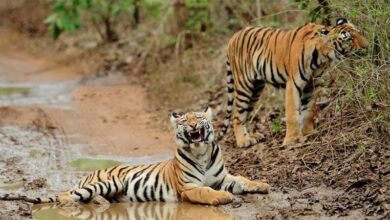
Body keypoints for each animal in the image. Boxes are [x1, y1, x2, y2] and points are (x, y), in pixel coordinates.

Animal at [0, 108, 270, 206]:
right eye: (185, 120)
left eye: (199, 118)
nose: (193, 125)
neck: (201, 152)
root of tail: (89, 173)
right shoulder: (189, 187)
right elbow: (206, 191)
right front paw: (222, 197)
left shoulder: (222, 178)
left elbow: (243, 179)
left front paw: (262, 185)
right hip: (108, 182)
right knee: (65, 195)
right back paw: (71, 203)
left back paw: (102, 203)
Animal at [218, 17, 368, 148]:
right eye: (349, 40)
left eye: (359, 33)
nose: (366, 47)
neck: (322, 56)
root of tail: (233, 37)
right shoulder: (293, 84)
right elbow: (292, 114)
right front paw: (292, 140)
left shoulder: (312, 85)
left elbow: (309, 110)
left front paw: (308, 132)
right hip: (244, 85)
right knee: (237, 115)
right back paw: (244, 141)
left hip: (256, 88)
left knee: (246, 113)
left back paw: (252, 136)